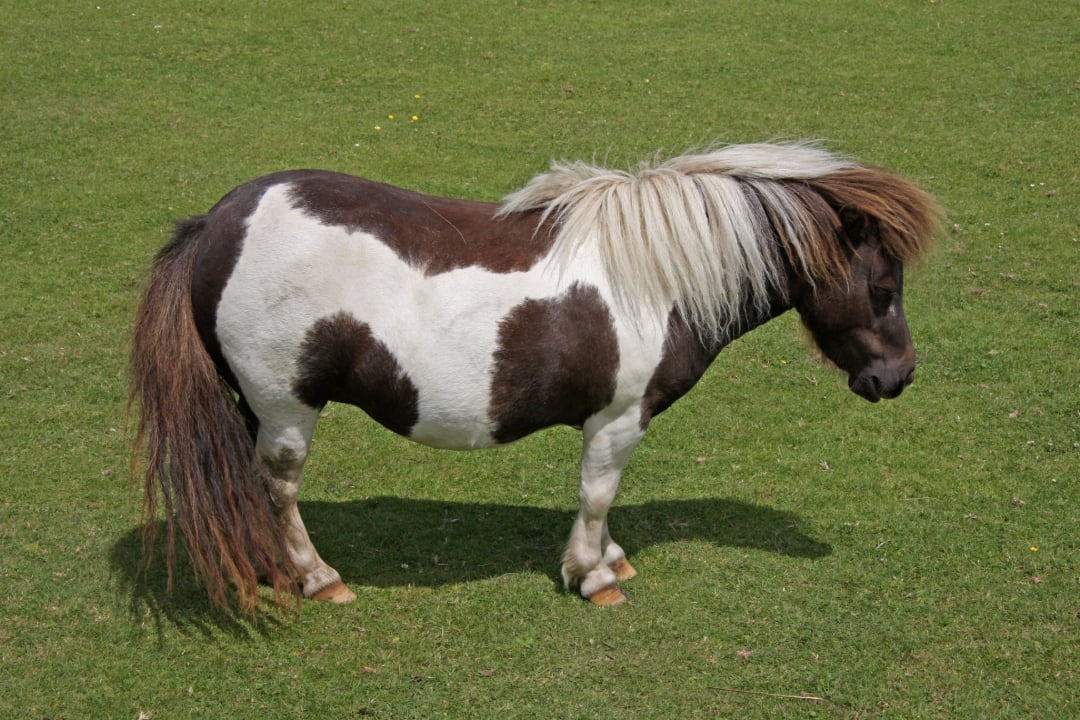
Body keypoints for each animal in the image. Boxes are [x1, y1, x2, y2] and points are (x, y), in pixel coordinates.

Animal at [130, 142, 939, 614]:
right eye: (883, 289)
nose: (897, 376)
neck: (657, 278)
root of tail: (216, 223)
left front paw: (609, 560)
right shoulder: (618, 419)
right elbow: (597, 495)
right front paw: (593, 576)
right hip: (286, 409)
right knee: (278, 489)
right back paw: (314, 576)